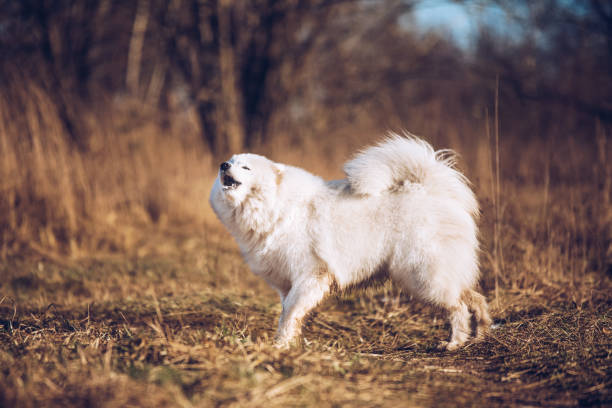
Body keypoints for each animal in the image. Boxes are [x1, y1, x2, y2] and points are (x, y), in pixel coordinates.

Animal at [210, 134, 492, 350]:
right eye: (231, 162)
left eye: (246, 167)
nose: (223, 165)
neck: (276, 208)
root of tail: (432, 190)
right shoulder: (286, 283)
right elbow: (289, 313)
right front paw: (292, 342)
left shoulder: (311, 275)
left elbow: (290, 312)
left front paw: (280, 345)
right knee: (474, 298)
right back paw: (481, 334)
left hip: (422, 274)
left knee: (457, 307)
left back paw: (453, 343)